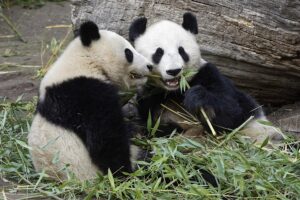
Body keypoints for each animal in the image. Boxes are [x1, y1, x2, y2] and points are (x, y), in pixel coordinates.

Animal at [27, 21, 152, 180]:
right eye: (128, 53)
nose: (149, 65)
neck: (86, 61)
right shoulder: (84, 94)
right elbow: (106, 138)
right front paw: (123, 170)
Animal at [128, 12, 282, 144]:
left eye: (182, 51)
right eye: (158, 53)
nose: (174, 71)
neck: (174, 91)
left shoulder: (208, 74)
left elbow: (231, 114)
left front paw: (197, 97)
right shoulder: (149, 96)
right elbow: (152, 125)